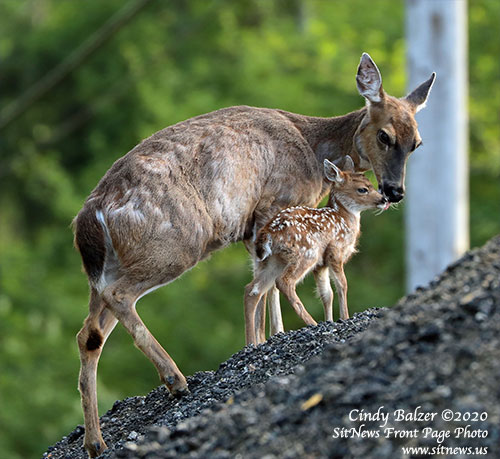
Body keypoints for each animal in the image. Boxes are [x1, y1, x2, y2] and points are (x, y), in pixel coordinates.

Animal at [73, 54, 434, 456]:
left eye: (417, 143)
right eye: (385, 135)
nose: (394, 191)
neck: (314, 148)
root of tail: (88, 219)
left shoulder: (254, 228)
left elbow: (265, 284)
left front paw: (265, 339)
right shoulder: (272, 205)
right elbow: (269, 286)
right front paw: (265, 339)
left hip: (105, 270)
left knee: (89, 334)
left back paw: (95, 441)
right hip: (173, 244)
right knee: (119, 297)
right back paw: (175, 380)